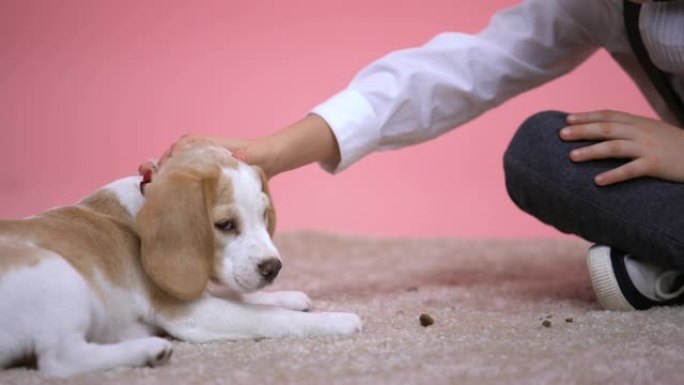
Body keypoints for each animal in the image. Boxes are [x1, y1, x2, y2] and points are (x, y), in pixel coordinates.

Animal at [0, 143, 364, 376]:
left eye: (264, 215)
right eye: (225, 225)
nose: (273, 269)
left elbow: (242, 296)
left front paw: (285, 297)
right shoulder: (189, 312)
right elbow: (266, 317)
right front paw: (334, 321)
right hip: (56, 271)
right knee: (60, 361)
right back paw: (148, 350)